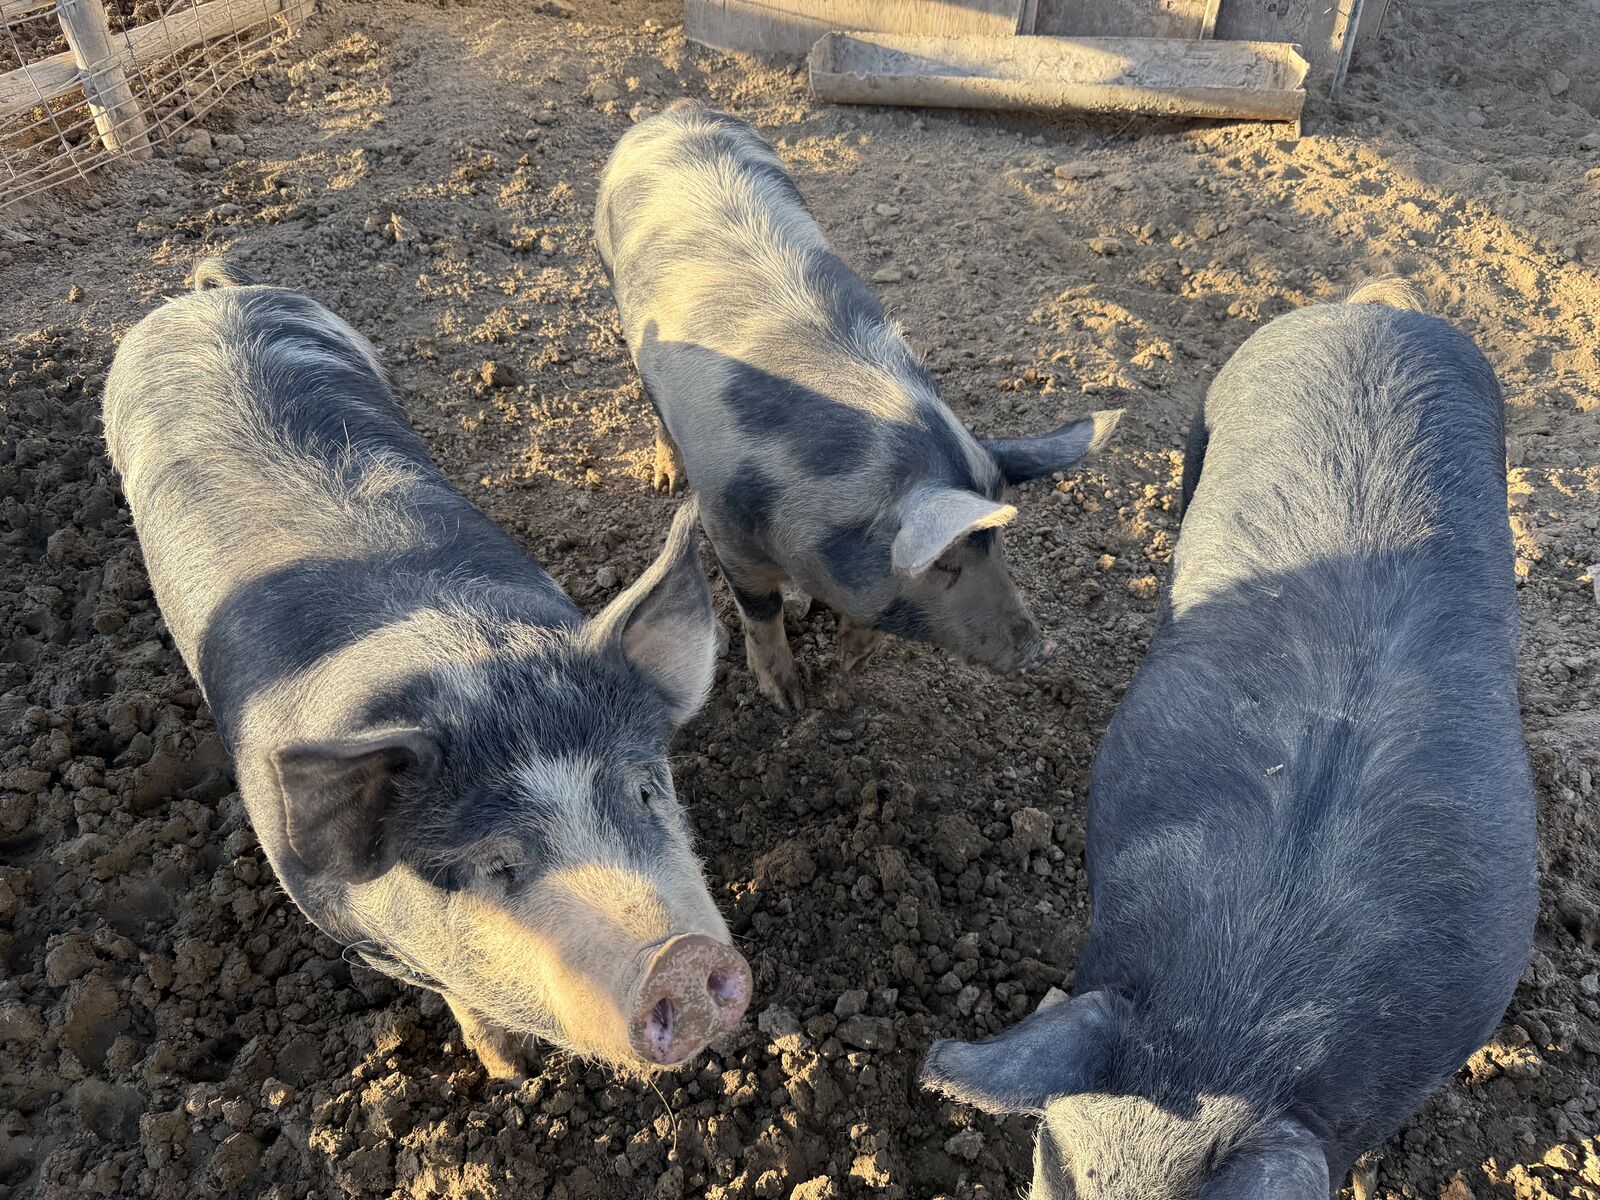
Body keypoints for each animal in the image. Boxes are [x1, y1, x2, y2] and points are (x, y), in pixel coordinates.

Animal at [102, 260, 751, 1078]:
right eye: (494, 865)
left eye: (644, 789)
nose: (682, 957)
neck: (458, 661)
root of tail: (199, 299)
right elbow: (460, 998)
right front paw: (509, 1074)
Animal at [595, 101, 1119, 712]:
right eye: (945, 562)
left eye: (1000, 544)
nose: (1040, 650)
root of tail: (676, 112)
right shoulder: (725, 528)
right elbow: (760, 614)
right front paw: (790, 702)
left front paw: (854, 667)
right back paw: (663, 482)